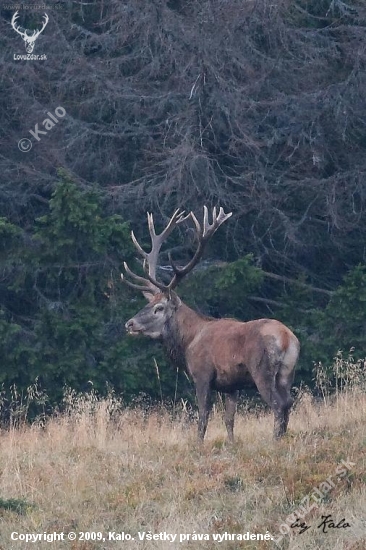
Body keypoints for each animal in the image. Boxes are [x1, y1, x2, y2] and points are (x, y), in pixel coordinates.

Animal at [121, 207, 298, 444]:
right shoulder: (231, 385)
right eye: (147, 303)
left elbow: (203, 415)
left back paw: (274, 441)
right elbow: (229, 419)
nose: (130, 323)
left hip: (262, 370)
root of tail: (287, 338)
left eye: (159, 307)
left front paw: (198, 444)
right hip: (287, 373)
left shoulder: (202, 373)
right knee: (288, 403)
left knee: (278, 405)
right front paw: (231, 444)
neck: (188, 341)